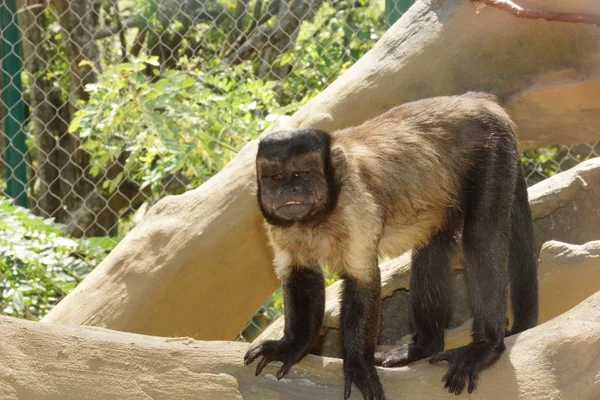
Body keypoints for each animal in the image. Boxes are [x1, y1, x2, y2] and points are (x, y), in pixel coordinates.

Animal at [244, 92, 540, 398]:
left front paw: (358, 367)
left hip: (491, 148)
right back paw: (426, 346)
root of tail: (477, 99)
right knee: (433, 244)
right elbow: (300, 273)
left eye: (302, 174)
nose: (288, 189)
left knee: (481, 233)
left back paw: (486, 346)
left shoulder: (355, 201)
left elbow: (363, 280)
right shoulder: (277, 224)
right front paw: (293, 345)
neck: (317, 219)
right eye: (275, 177)